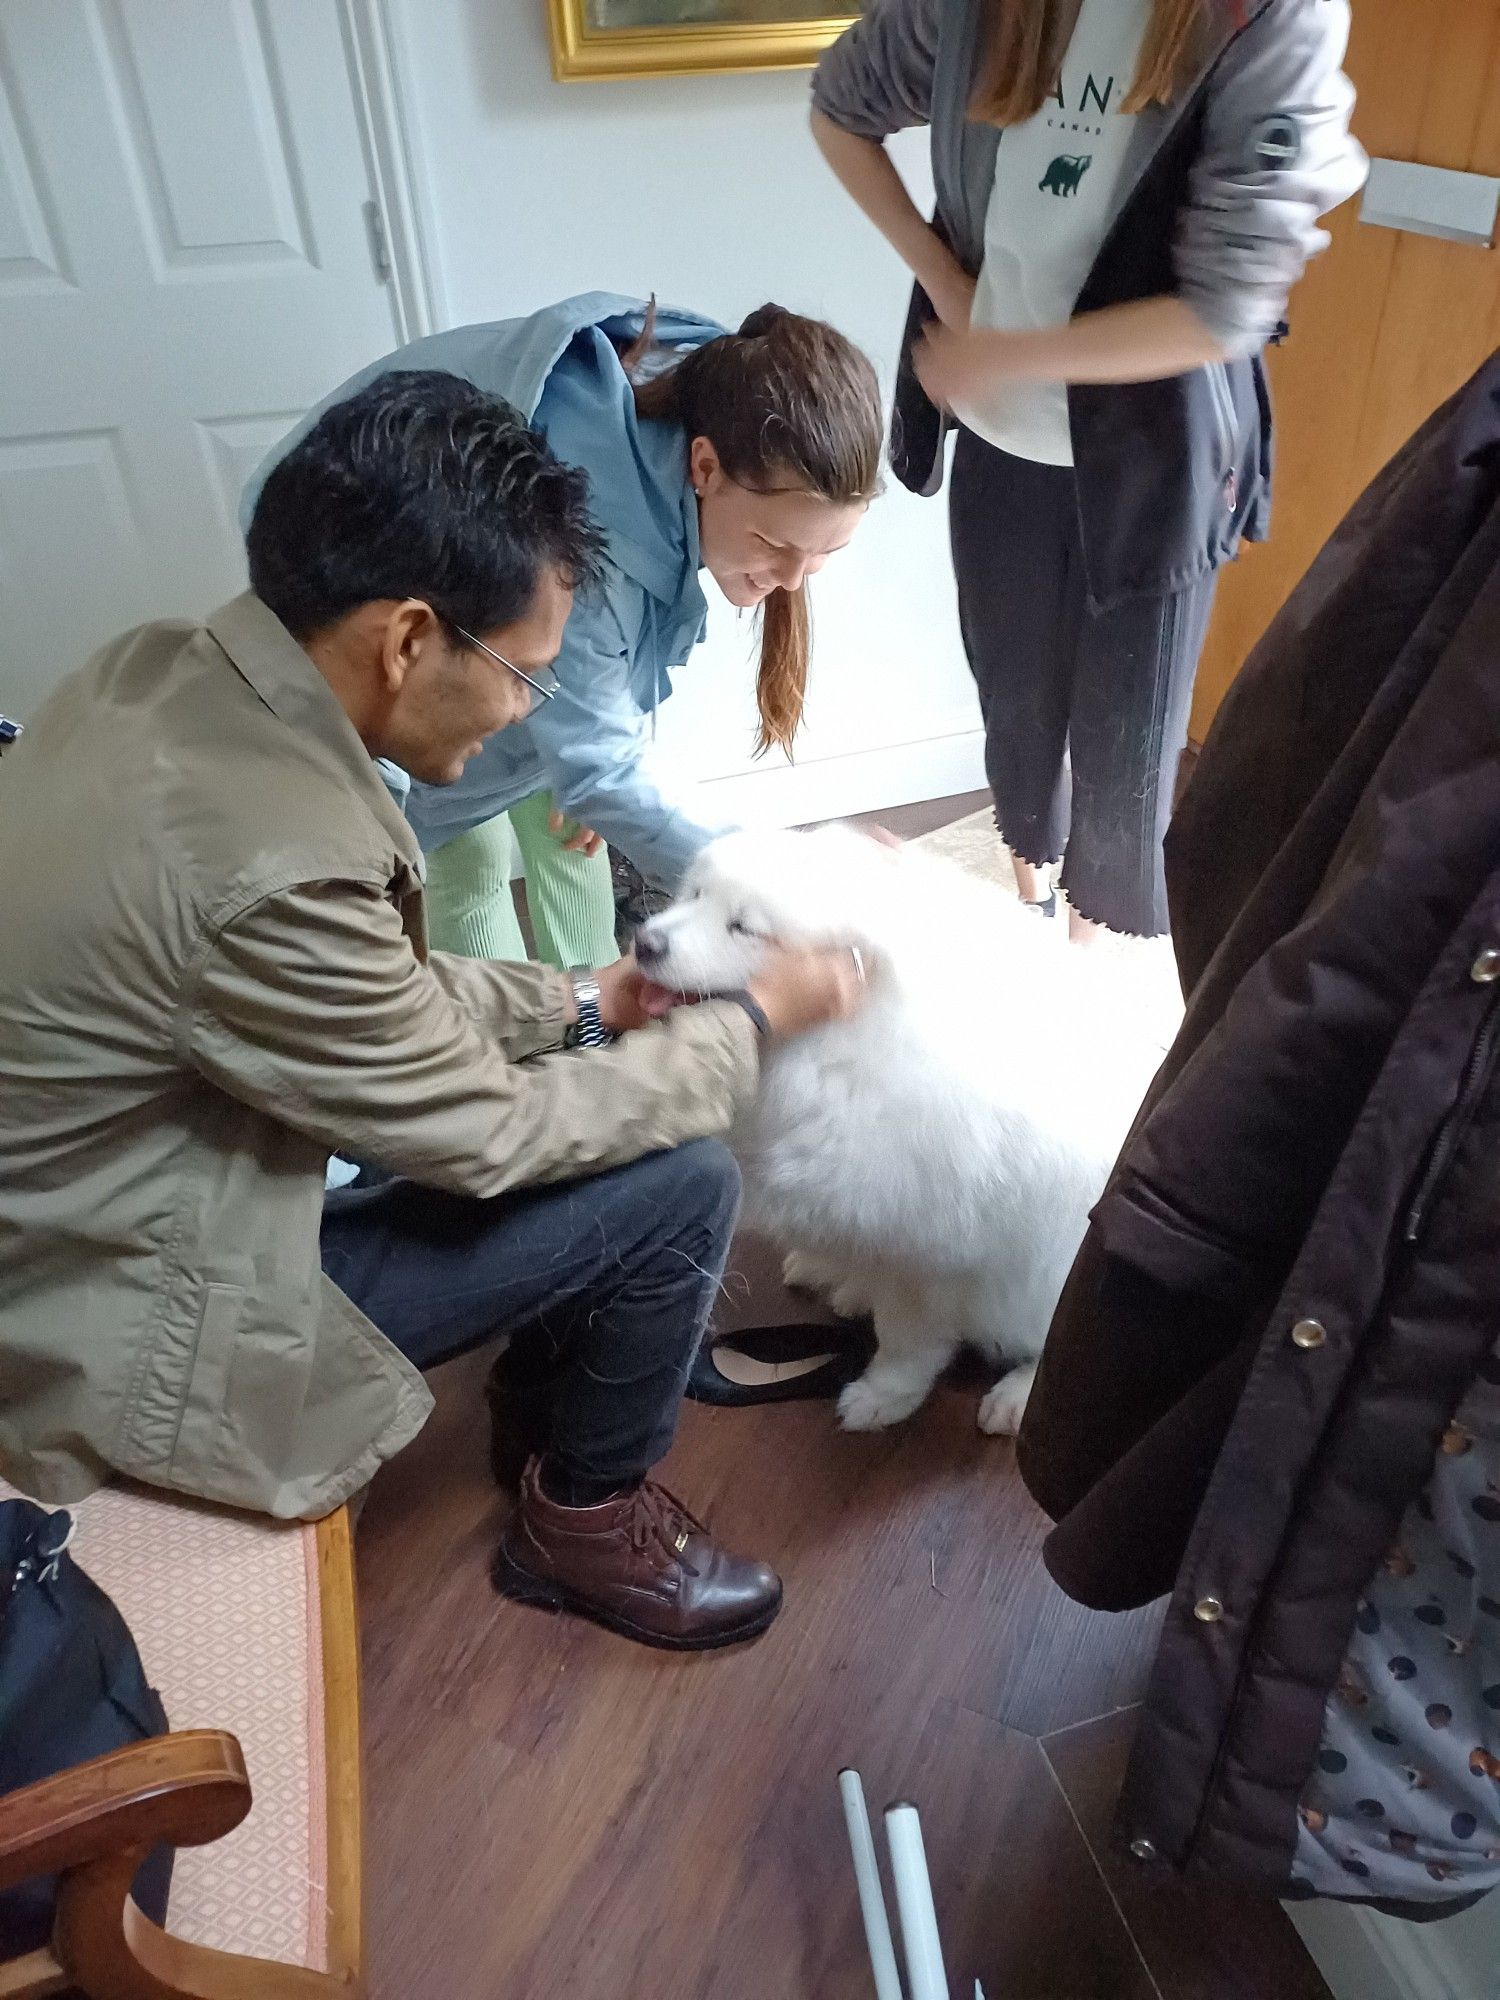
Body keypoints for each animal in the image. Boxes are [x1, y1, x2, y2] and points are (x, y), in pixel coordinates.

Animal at [636, 824, 1160, 1440]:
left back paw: (1016, 1397)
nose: (644, 943)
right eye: (695, 895)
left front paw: (883, 1397)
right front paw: (840, 1279)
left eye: (743, 927)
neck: (833, 1046)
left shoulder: (927, 1257)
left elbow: (907, 1343)